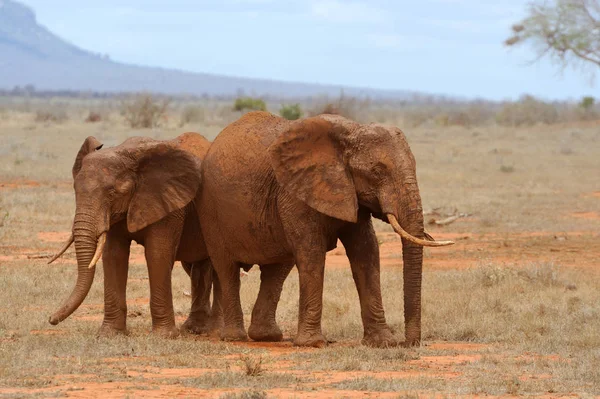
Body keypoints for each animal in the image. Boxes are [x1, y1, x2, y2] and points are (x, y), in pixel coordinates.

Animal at [46, 134, 220, 338]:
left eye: (112, 192)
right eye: (75, 189)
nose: (51, 319)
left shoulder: (169, 204)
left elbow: (157, 255)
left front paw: (163, 336)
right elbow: (114, 255)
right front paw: (110, 334)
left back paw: (215, 329)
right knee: (196, 266)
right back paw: (194, 329)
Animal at [199, 111, 452, 346]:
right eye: (377, 171)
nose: (410, 343)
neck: (351, 131)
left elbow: (367, 252)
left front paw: (382, 342)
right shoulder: (295, 192)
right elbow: (312, 252)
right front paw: (312, 343)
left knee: (276, 270)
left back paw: (267, 336)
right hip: (211, 211)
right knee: (227, 269)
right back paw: (235, 337)